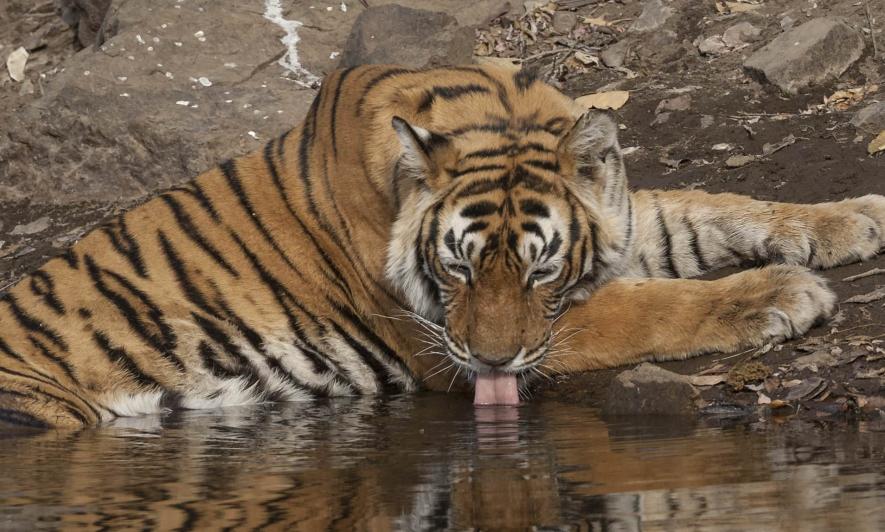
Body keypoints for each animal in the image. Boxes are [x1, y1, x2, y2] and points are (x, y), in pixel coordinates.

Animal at [1, 64, 884, 428]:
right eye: (455, 267)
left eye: (541, 268)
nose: (492, 364)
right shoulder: (447, 338)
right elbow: (647, 306)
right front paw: (782, 294)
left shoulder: (624, 220)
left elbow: (709, 209)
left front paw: (853, 215)